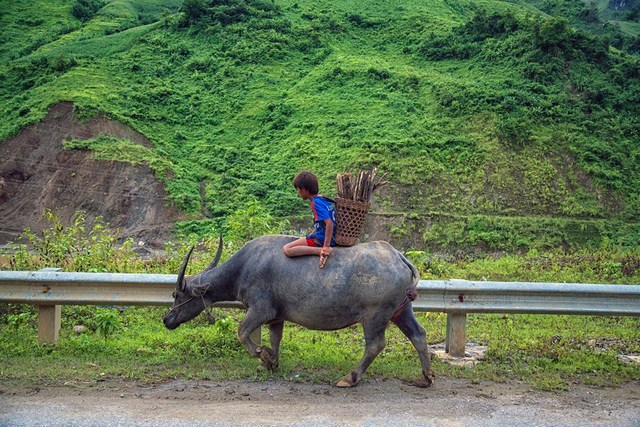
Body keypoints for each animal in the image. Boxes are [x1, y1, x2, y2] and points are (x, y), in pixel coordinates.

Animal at [164, 236, 436, 390]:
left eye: (177, 294)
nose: (166, 319)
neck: (243, 267)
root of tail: (398, 257)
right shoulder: (276, 316)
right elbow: (275, 338)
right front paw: (272, 361)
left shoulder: (260, 309)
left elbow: (242, 333)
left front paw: (263, 356)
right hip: (401, 310)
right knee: (418, 334)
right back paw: (426, 377)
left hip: (375, 315)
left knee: (375, 344)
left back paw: (349, 378)